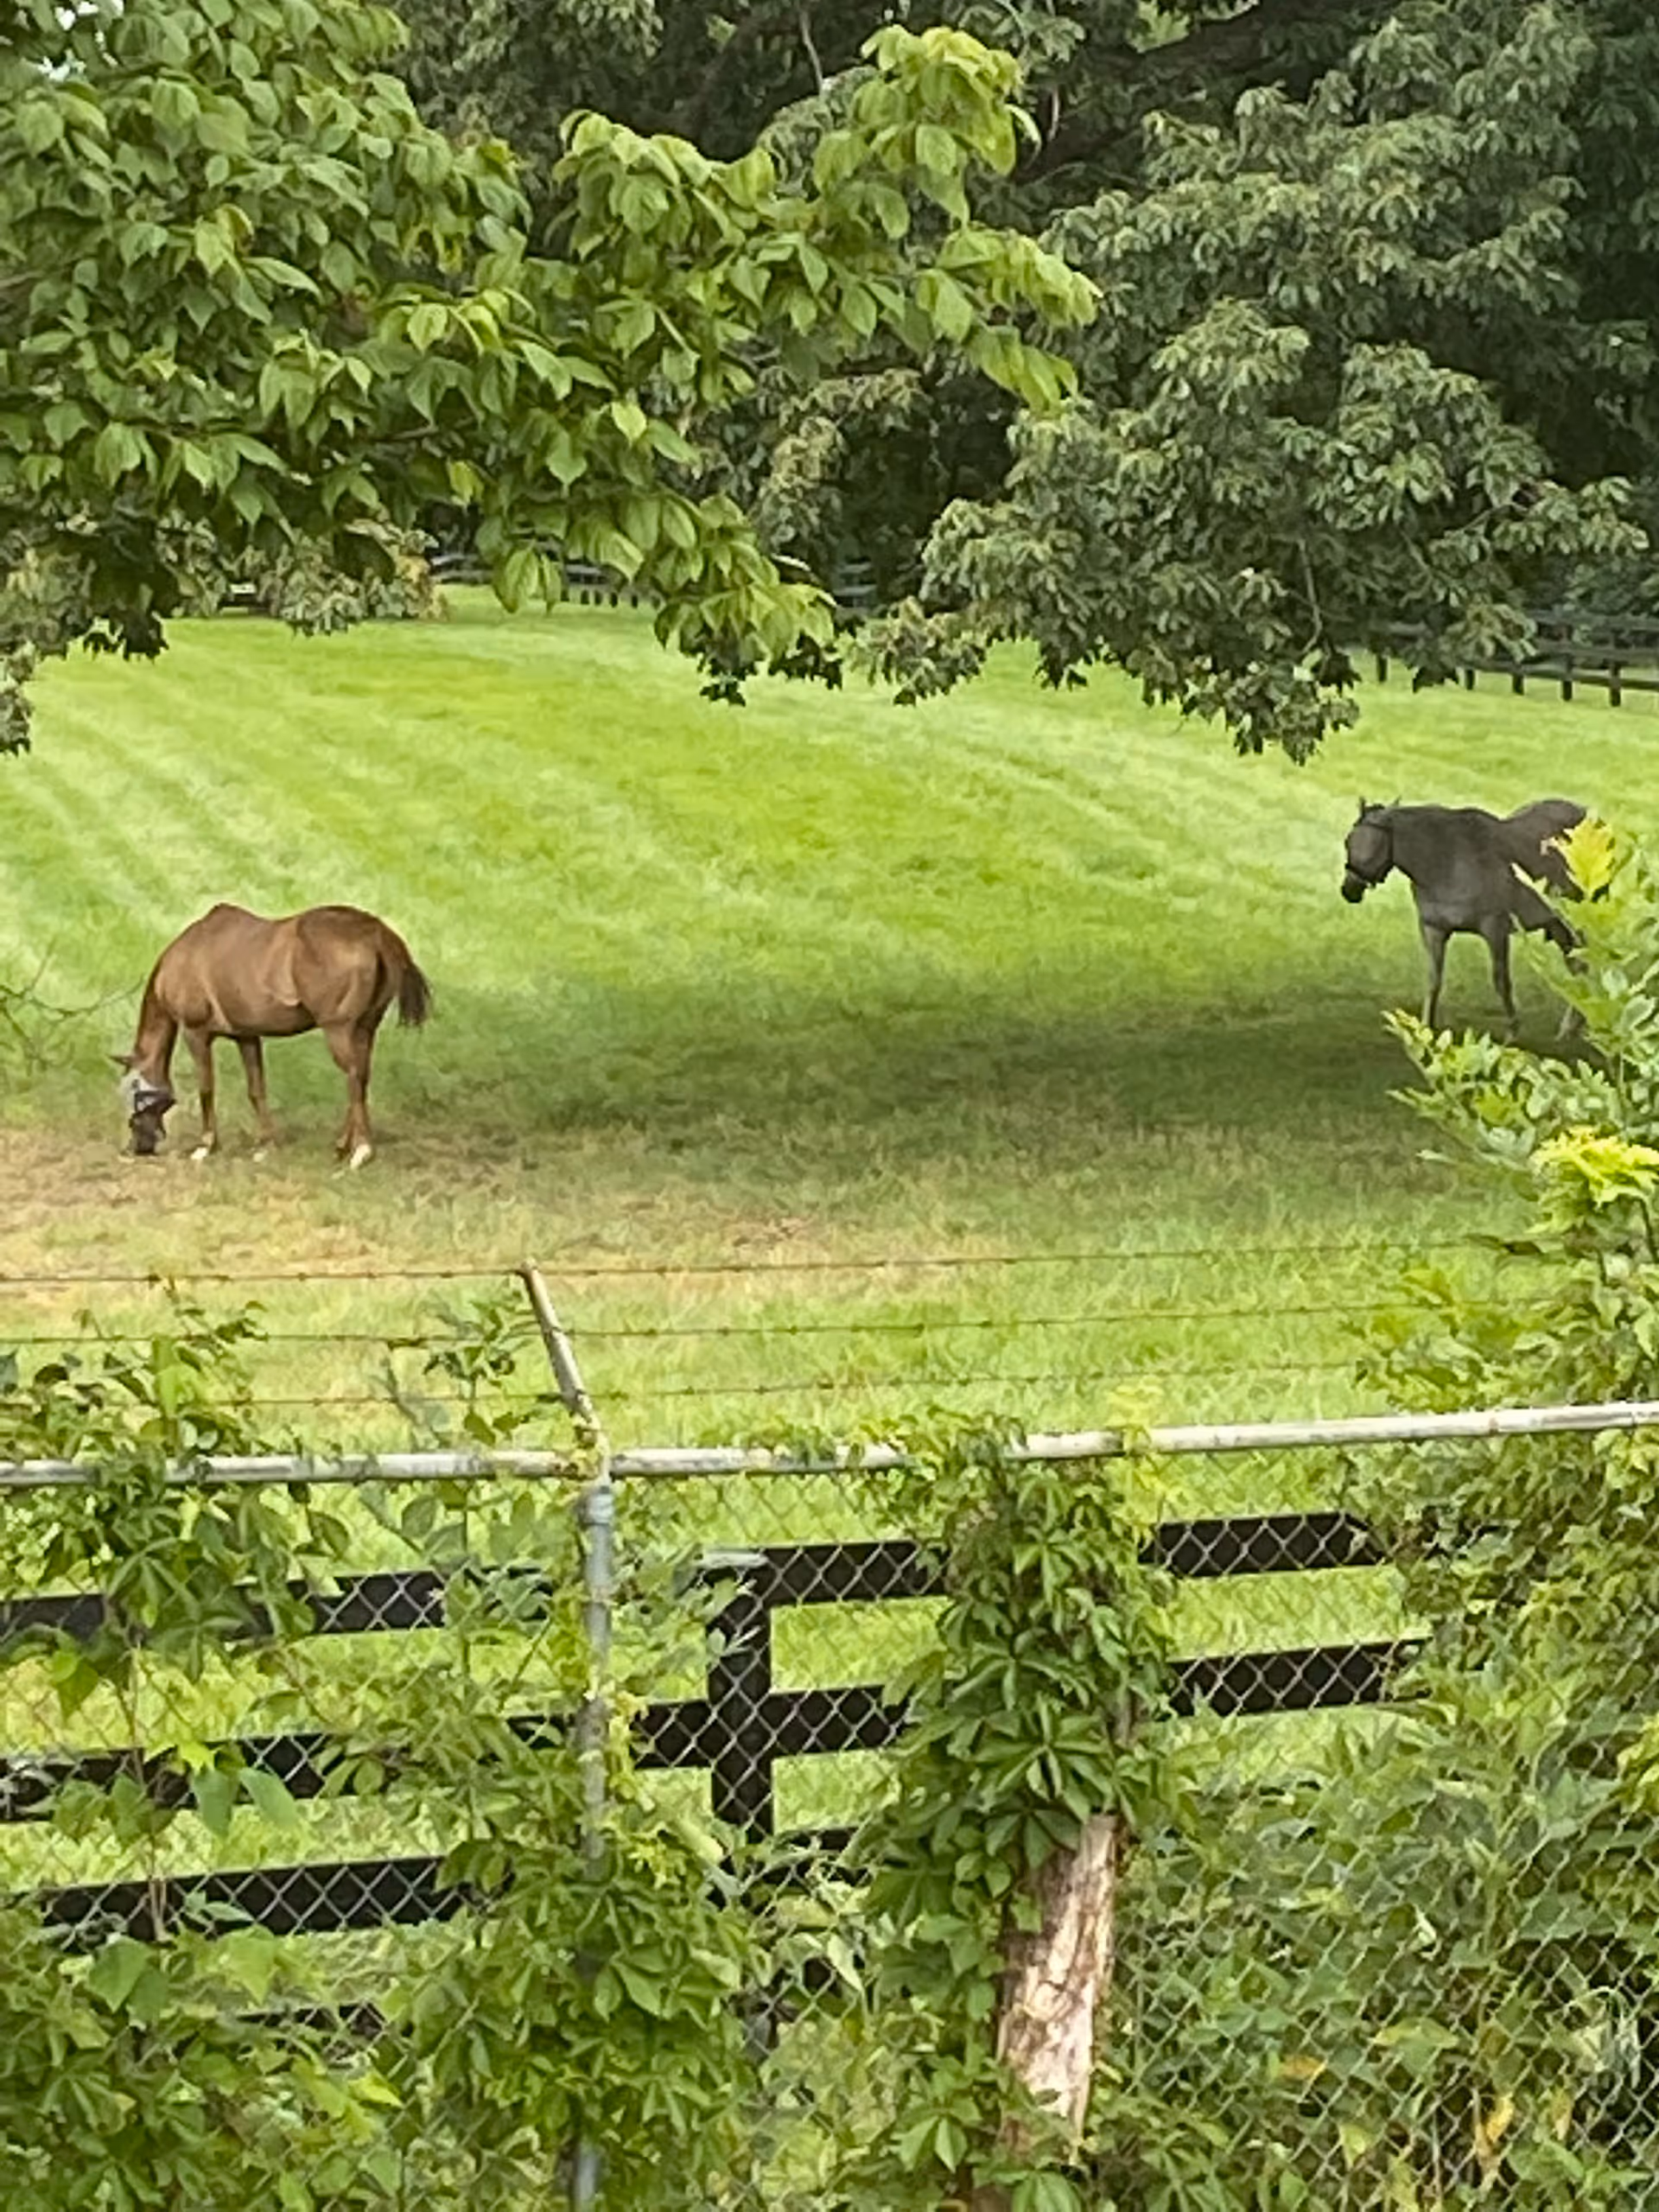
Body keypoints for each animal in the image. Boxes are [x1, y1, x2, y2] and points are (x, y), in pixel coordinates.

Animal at [116, 904, 431, 1167]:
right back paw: (343, 1145)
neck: (186, 956)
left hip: (340, 1030)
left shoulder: (196, 1033)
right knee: (362, 1078)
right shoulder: (247, 1037)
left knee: (354, 1077)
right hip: (365, 1030)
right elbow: (257, 1090)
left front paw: (206, 1146)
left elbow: (206, 1088)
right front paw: (265, 1145)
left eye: (132, 1090)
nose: (135, 1147)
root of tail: (376, 931)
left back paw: (362, 1150)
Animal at [1340, 797, 1584, 1031]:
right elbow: (1434, 981)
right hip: (1558, 925)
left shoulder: (1495, 928)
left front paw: (1512, 1031)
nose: (1349, 890)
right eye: (1348, 841)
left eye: (1374, 844)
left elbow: (1501, 981)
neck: (1448, 862)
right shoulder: (1433, 929)